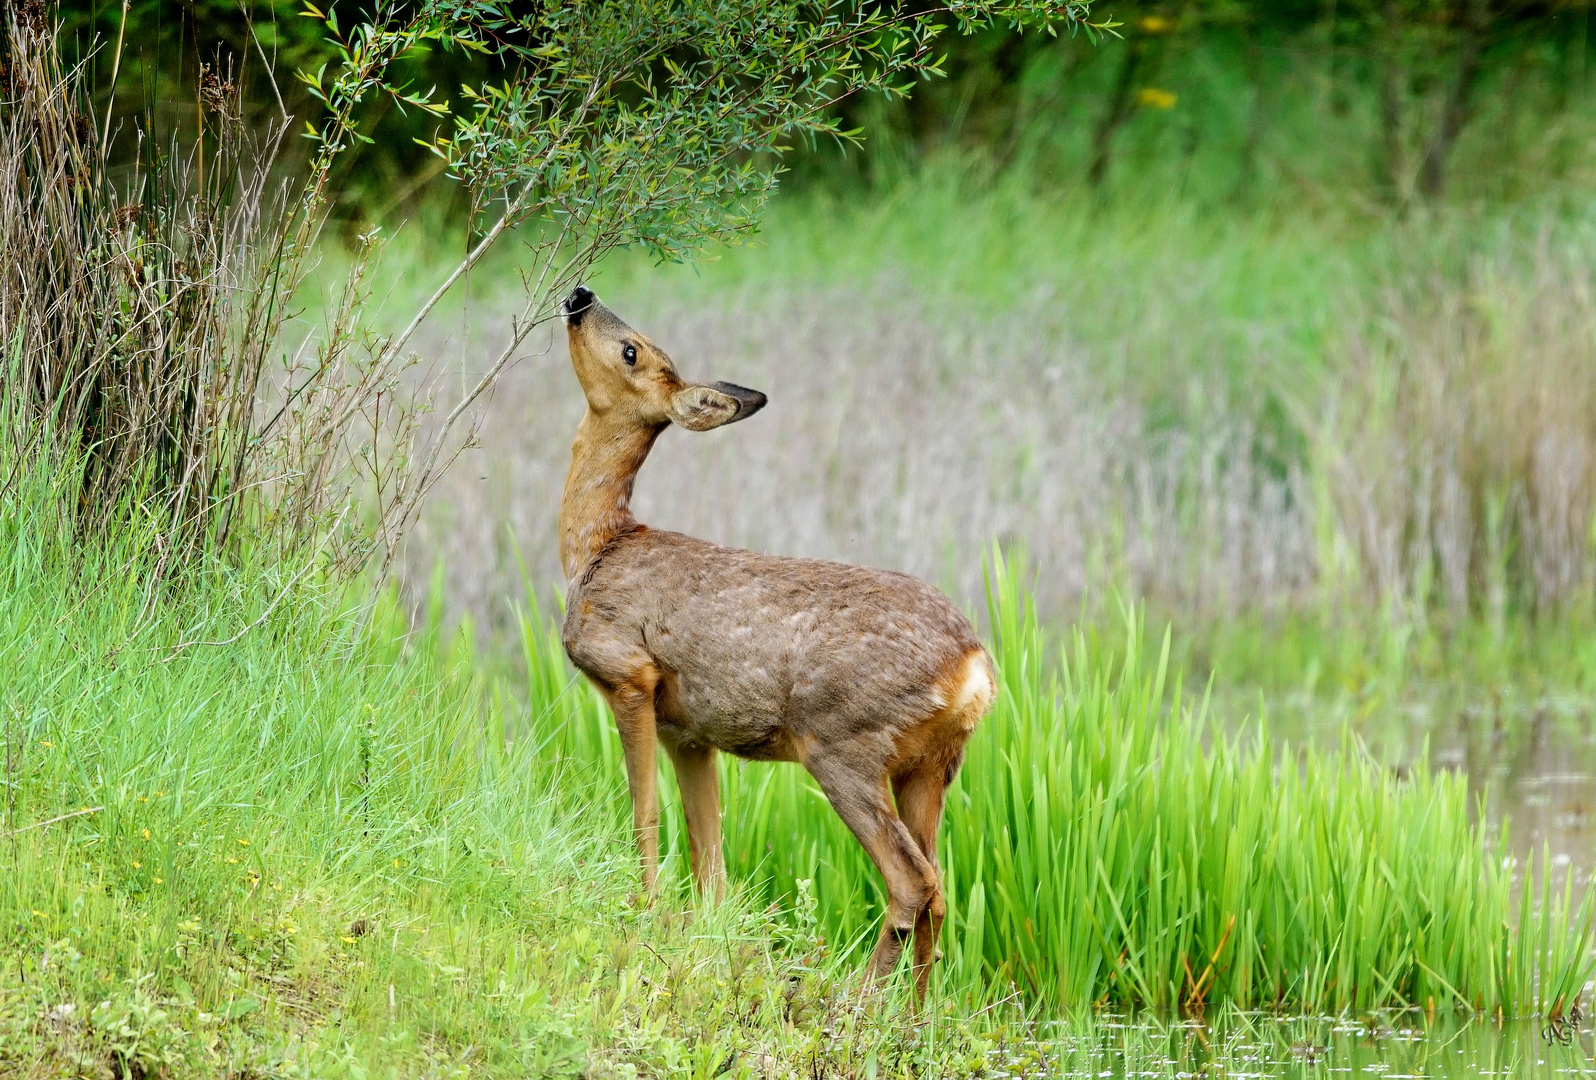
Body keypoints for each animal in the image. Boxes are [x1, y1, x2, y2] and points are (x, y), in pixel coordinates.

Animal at [555, 287, 989, 995]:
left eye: (631, 350)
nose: (581, 295)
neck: (598, 548)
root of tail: (975, 667)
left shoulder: (628, 672)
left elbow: (644, 814)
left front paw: (643, 912)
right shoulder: (689, 731)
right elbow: (709, 854)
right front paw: (702, 941)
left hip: (843, 746)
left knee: (912, 882)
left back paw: (861, 1003)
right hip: (932, 766)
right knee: (940, 889)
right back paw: (915, 1014)